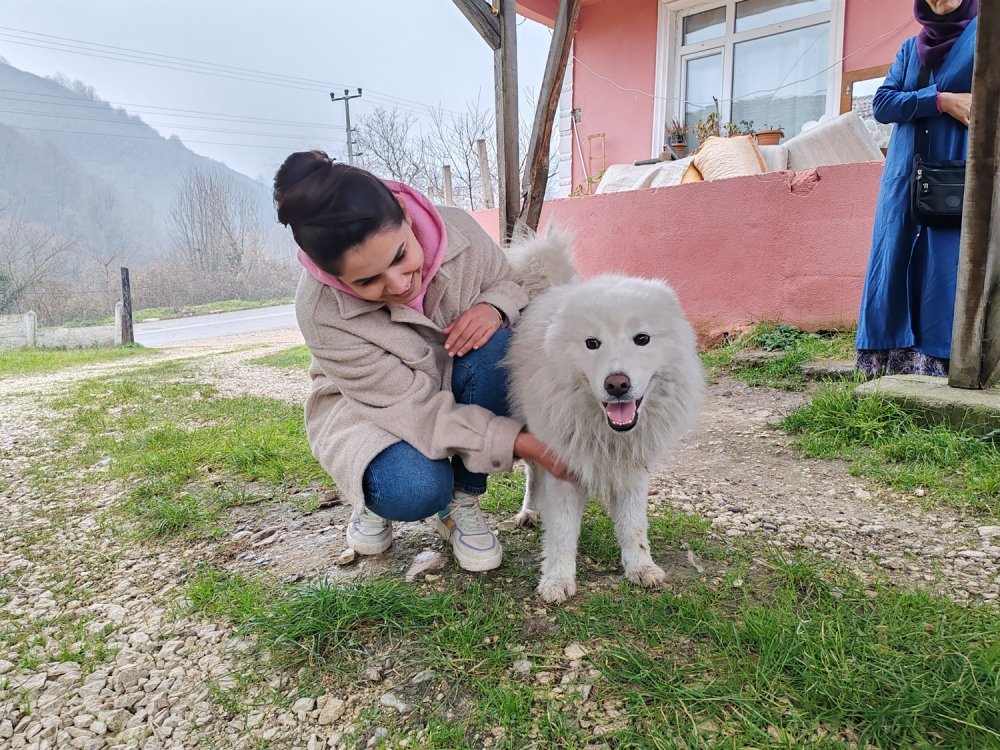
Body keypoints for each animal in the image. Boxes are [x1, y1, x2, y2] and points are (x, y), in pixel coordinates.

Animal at [504, 229, 708, 604]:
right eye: (591, 343)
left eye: (641, 338)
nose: (617, 384)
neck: (609, 433)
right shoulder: (562, 465)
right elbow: (562, 532)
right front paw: (557, 580)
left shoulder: (634, 469)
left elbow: (633, 525)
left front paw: (641, 568)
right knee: (532, 474)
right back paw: (529, 511)